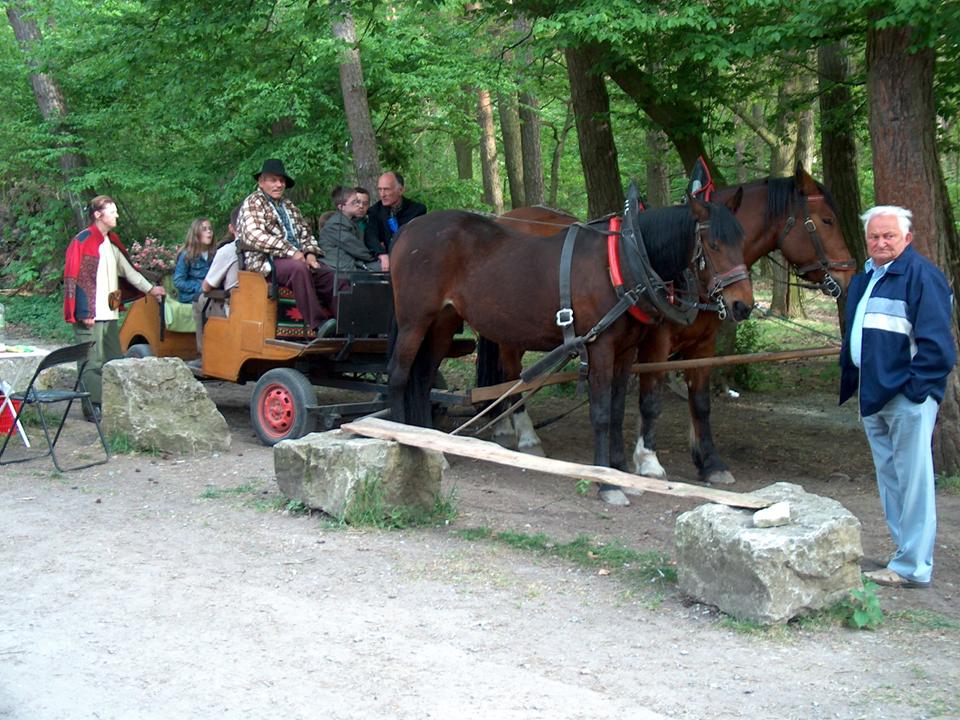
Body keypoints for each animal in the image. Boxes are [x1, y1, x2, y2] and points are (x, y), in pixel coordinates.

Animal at [386, 193, 752, 506]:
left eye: (742, 241)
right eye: (714, 245)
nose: (743, 305)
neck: (623, 262)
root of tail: (408, 229)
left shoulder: (625, 351)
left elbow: (617, 410)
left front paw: (620, 470)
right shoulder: (601, 346)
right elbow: (602, 413)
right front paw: (607, 483)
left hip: (443, 324)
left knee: (423, 380)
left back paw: (429, 445)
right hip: (414, 321)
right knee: (400, 377)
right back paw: (401, 438)